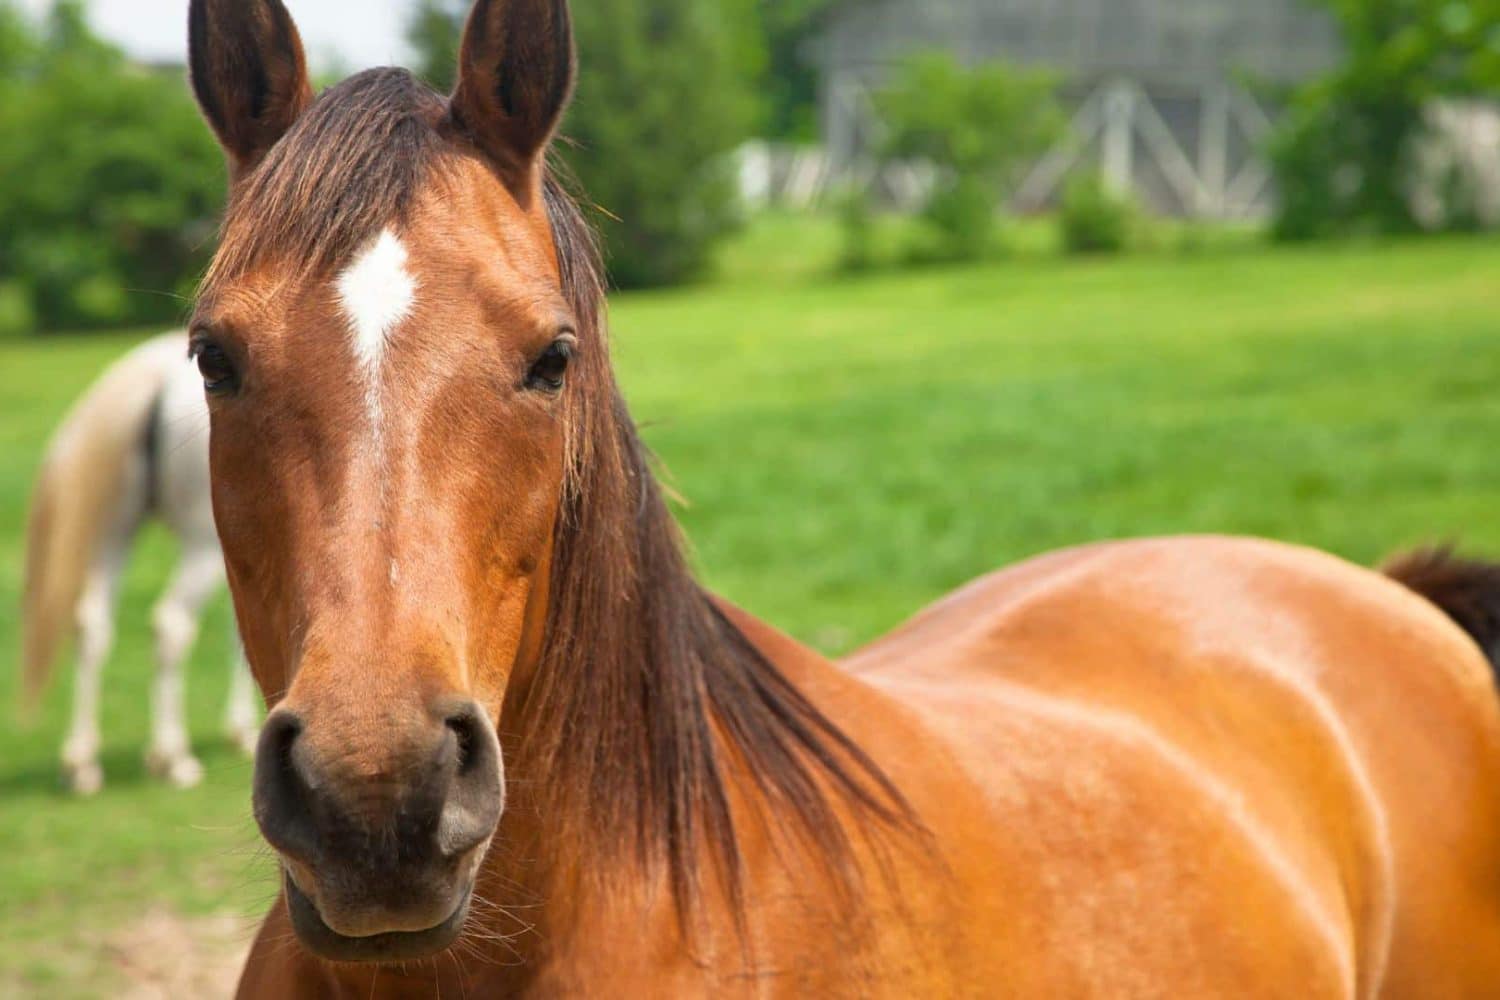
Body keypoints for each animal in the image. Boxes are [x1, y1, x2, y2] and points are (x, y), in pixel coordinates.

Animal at [21, 334, 259, 794]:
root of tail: (152, 376)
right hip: (201, 542)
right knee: (171, 624)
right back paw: (172, 757)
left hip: (115, 531)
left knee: (92, 625)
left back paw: (82, 763)